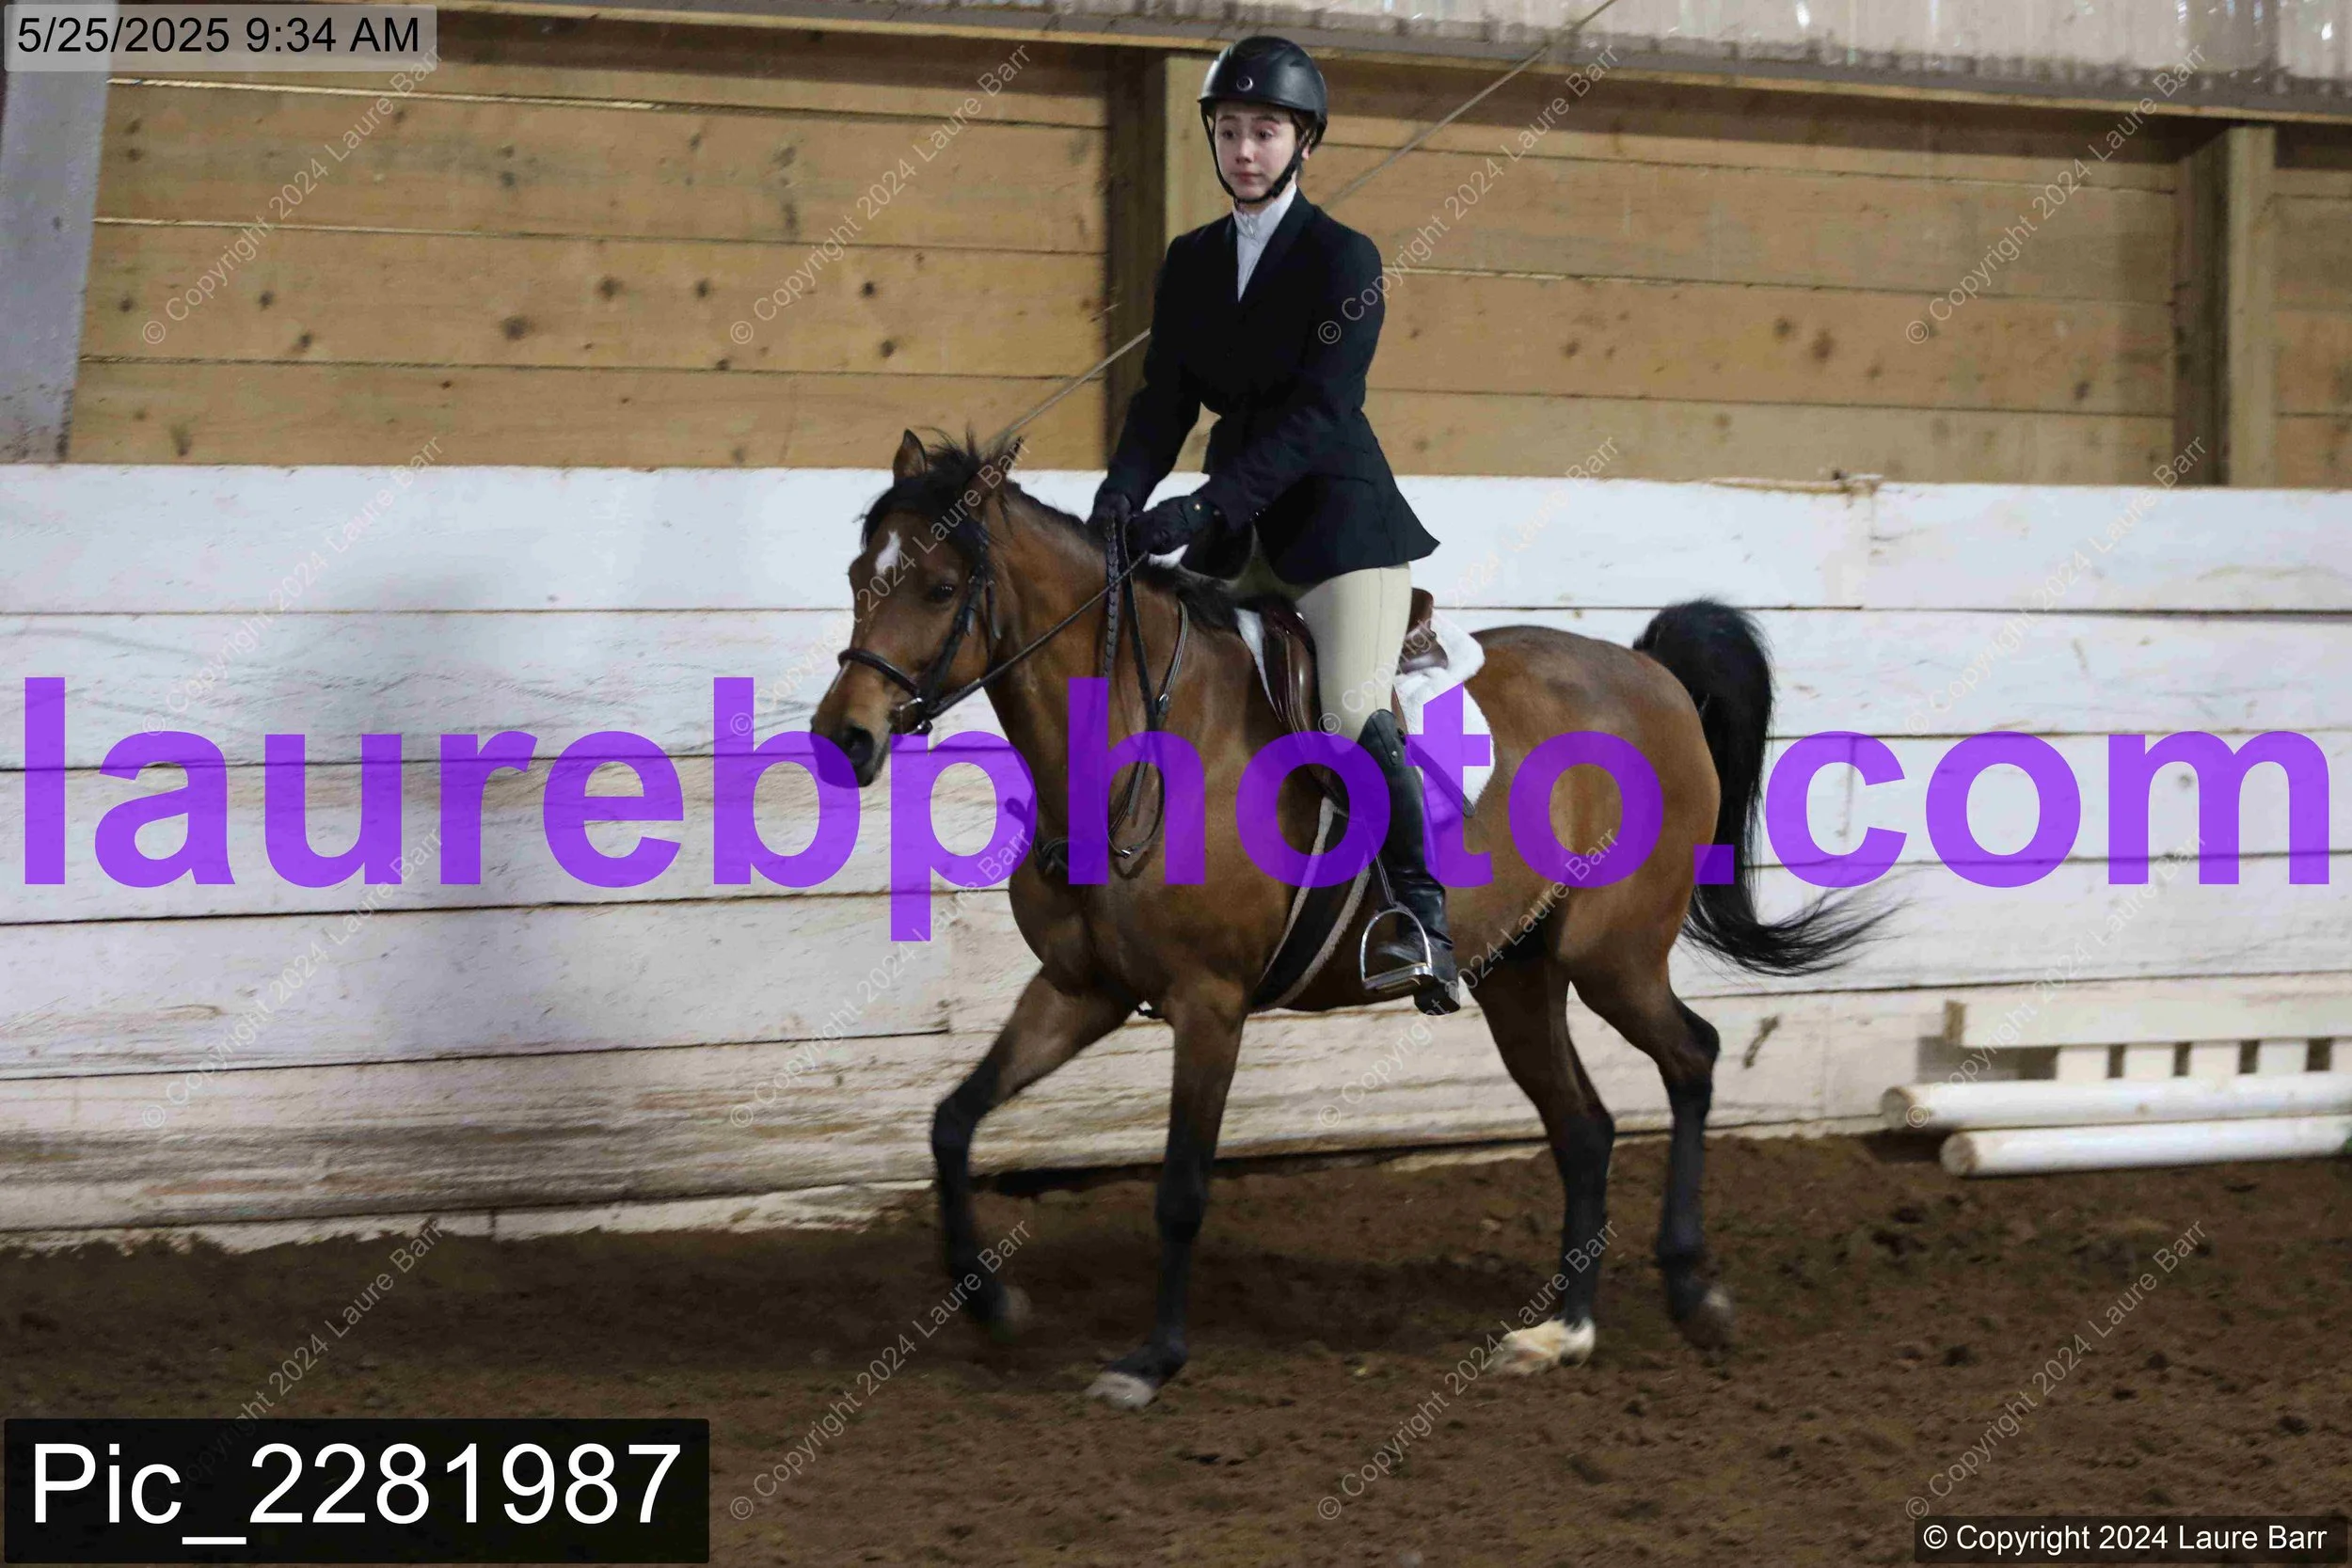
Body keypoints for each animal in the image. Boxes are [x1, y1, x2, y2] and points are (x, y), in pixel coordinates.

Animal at [811, 430, 1876, 1410]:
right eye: (863, 578)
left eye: (940, 588)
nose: (844, 738)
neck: (1133, 738)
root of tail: (1652, 675)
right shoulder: (1083, 987)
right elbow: (953, 1121)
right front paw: (992, 1303)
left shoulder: (1209, 1001)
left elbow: (1181, 1188)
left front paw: (1151, 1359)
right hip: (1518, 971)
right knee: (1585, 1126)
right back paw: (1563, 1333)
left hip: (1612, 955)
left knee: (1692, 1057)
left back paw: (1694, 1292)